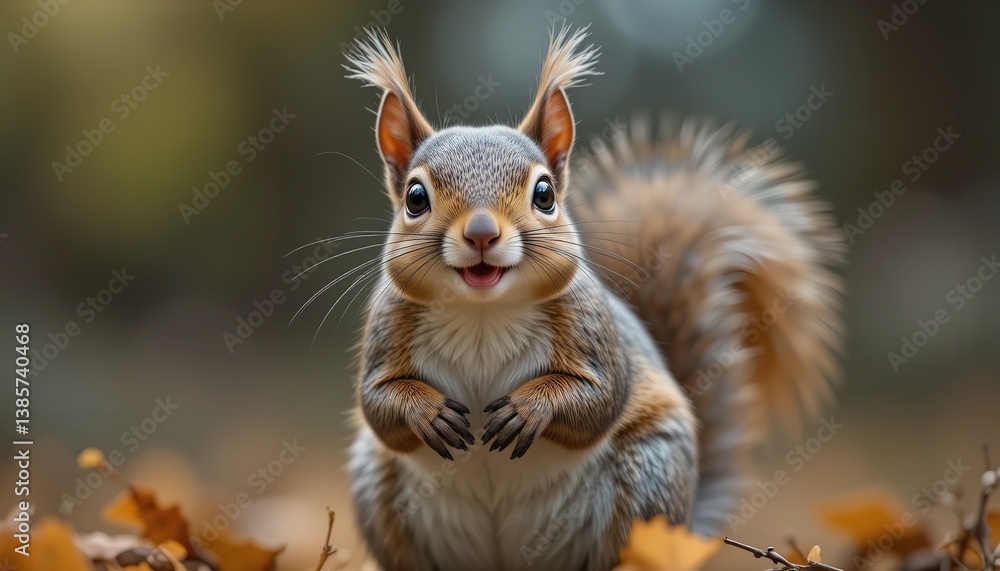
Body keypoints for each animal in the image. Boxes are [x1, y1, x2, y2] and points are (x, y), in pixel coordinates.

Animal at [342, 26, 844, 571]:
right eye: (415, 198)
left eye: (544, 194)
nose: (480, 233)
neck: (482, 314)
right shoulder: (387, 328)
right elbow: (377, 401)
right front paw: (427, 413)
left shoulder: (593, 330)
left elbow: (598, 399)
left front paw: (529, 410)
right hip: (377, 489)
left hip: (649, 477)